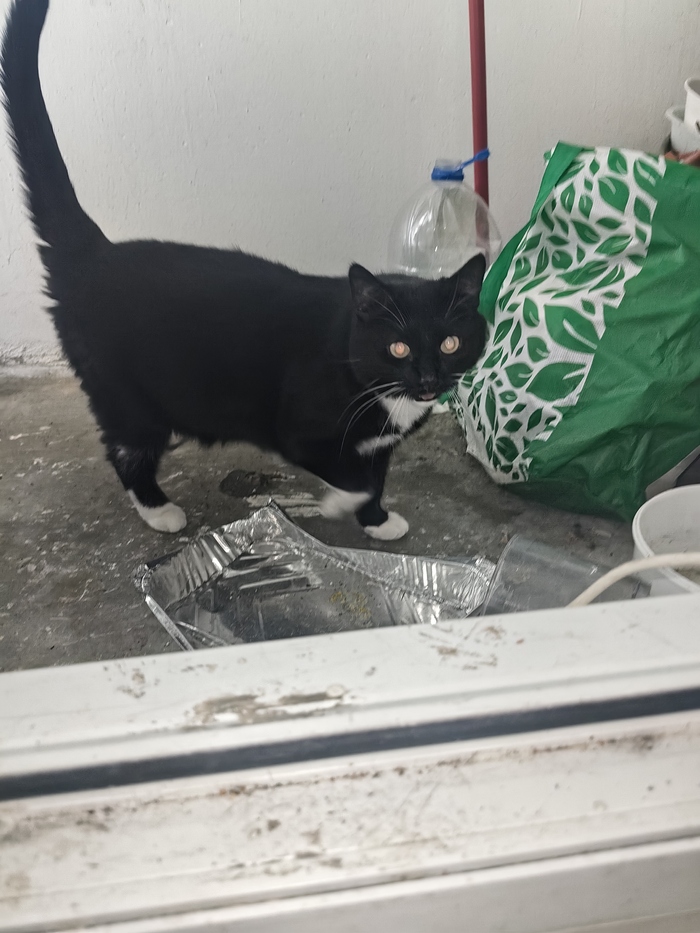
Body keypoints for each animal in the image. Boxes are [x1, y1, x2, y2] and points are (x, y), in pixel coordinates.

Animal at [1, 0, 486, 541]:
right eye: (397, 347)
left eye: (450, 342)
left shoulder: (378, 444)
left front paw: (377, 522)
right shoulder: (297, 433)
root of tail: (94, 252)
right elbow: (354, 478)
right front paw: (339, 504)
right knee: (126, 447)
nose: (428, 378)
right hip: (125, 392)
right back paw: (159, 510)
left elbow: (375, 478)